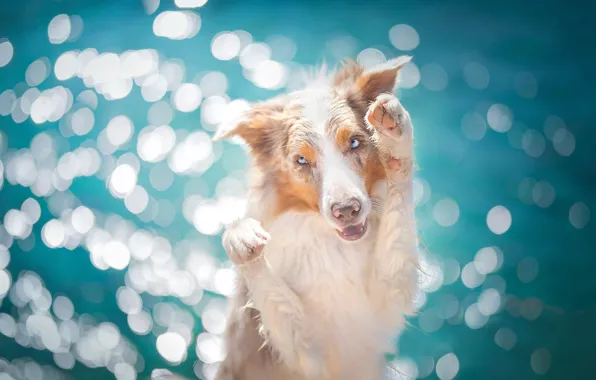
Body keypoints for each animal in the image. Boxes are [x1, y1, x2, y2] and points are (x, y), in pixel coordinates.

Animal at [213, 57, 420, 380]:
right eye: (301, 160)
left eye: (356, 143)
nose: (347, 210)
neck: (336, 248)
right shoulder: (308, 352)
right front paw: (240, 237)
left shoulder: (385, 296)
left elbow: (399, 188)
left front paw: (394, 137)